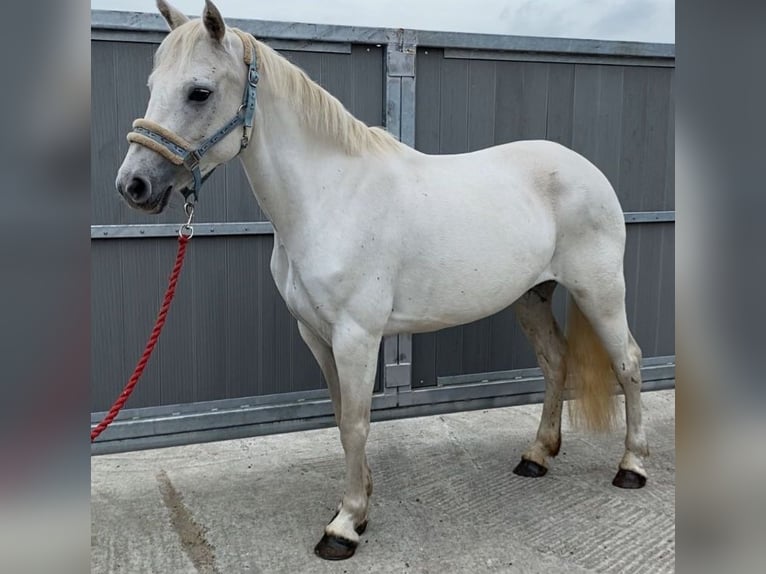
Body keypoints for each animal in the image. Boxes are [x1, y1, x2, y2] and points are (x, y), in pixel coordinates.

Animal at [117, 0, 652, 560]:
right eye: (153, 84)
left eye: (199, 91)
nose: (134, 185)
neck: (330, 197)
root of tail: (588, 171)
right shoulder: (316, 334)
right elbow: (340, 417)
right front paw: (359, 502)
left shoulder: (357, 336)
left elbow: (356, 424)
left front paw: (345, 525)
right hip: (532, 296)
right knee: (554, 363)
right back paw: (537, 456)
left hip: (600, 291)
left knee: (628, 362)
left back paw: (632, 466)